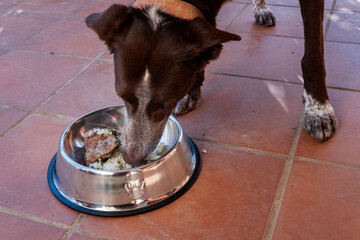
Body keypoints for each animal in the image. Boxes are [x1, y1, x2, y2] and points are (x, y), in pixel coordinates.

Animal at [85, 0, 338, 166]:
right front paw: (192, 91)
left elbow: (313, 56)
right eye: (121, 96)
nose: (131, 158)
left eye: (164, 107)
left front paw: (318, 109)